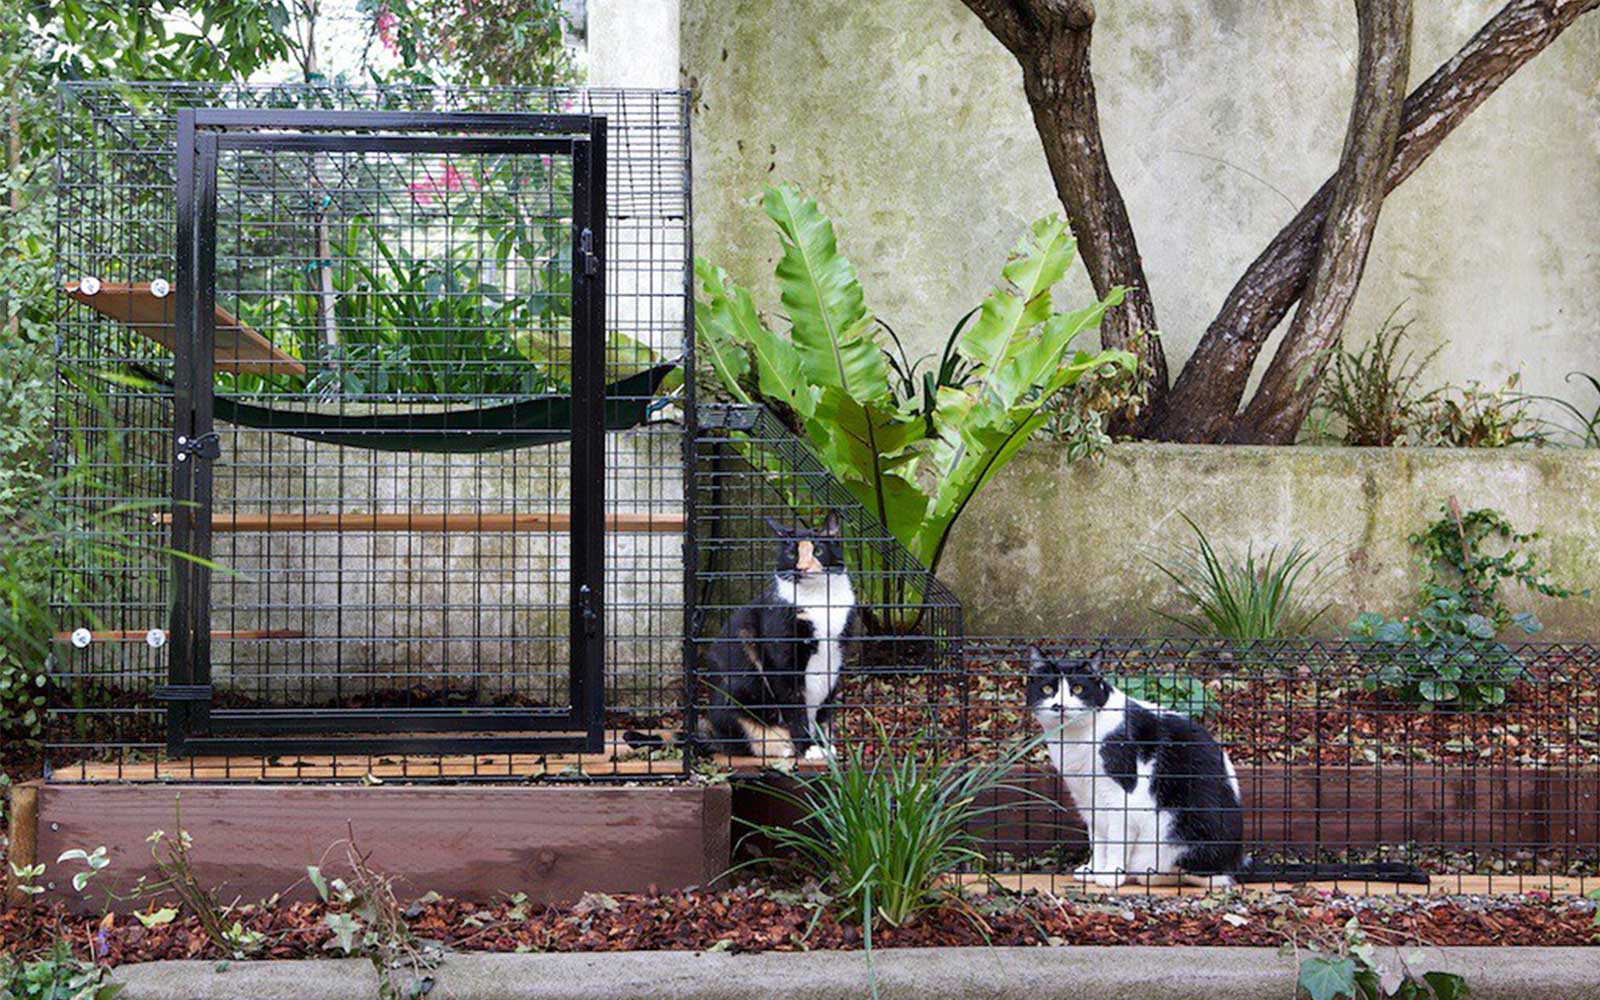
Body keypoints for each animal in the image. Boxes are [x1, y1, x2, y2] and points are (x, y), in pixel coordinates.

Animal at [1024, 646, 1248, 889]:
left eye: (1077, 688)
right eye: (1047, 688)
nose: (1060, 706)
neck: (1075, 739)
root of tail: (1237, 863)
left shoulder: (1119, 796)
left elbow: (1115, 839)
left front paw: (1110, 874)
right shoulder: (1087, 797)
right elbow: (1097, 839)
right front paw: (1093, 869)